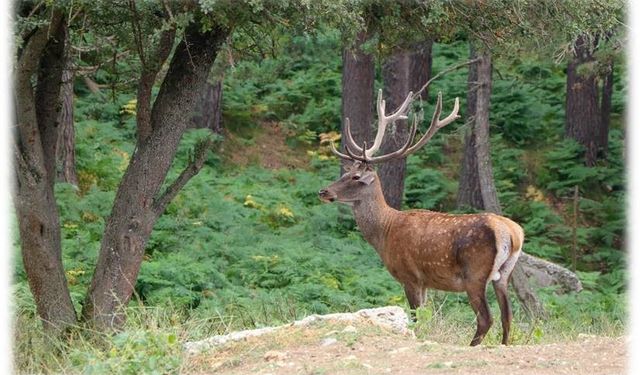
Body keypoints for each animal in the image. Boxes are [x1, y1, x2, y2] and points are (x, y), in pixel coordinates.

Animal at [318, 89, 524, 346]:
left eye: (355, 177)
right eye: (346, 173)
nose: (323, 191)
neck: (384, 232)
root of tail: (513, 233)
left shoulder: (410, 276)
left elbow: (416, 318)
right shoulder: (426, 282)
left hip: (475, 273)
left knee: (487, 318)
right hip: (504, 275)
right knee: (508, 317)